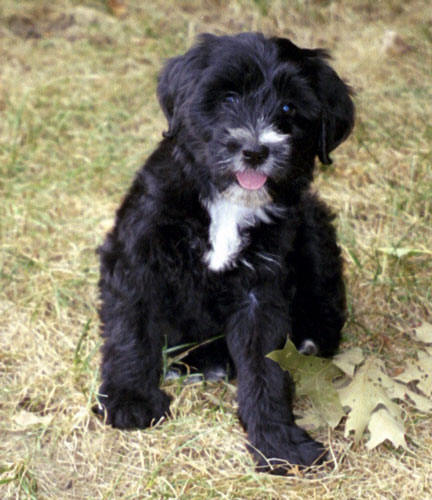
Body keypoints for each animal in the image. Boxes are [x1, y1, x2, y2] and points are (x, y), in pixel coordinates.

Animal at [97, 32, 354, 472]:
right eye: (229, 96)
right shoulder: (136, 257)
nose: (255, 150)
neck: (227, 202)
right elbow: (131, 328)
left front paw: (277, 440)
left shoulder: (261, 290)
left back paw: (310, 341)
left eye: (289, 107)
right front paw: (131, 398)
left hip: (315, 226)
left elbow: (266, 366)